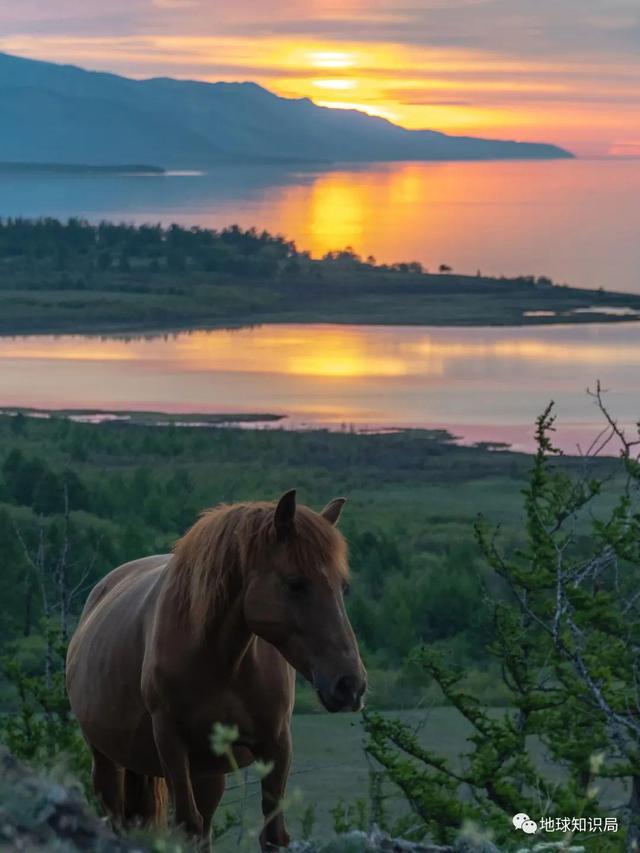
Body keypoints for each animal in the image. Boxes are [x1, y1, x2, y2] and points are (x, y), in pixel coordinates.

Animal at [66, 490, 364, 848]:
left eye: (343, 586)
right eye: (295, 583)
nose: (350, 685)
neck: (223, 665)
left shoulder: (276, 744)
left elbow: (274, 833)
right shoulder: (171, 743)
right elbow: (187, 824)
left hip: (205, 774)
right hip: (108, 761)